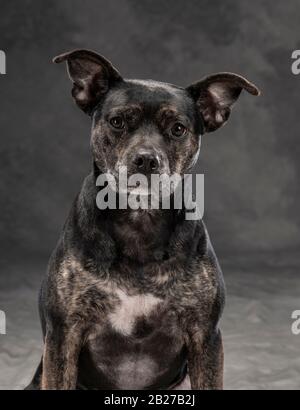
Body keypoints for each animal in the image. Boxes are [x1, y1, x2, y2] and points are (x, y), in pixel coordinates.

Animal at [26, 49, 260, 390]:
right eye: (117, 121)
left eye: (178, 128)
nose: (147, 159)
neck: (140, 219)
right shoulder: (63, 336)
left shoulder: (205, 336)